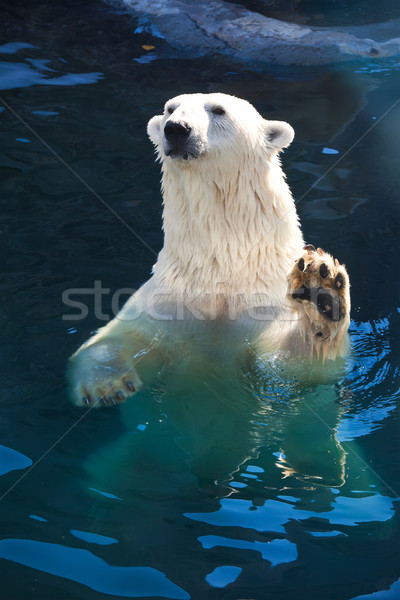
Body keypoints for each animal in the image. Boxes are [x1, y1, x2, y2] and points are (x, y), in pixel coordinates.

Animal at [69, 91, 350, 406]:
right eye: (170, 109)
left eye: (218, 110)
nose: (176, 129)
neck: (223, 269)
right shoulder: (170, 302)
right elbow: (117, 336)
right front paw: (106, 383)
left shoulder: (263, 307)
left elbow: (299, 368)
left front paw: (322, 292)